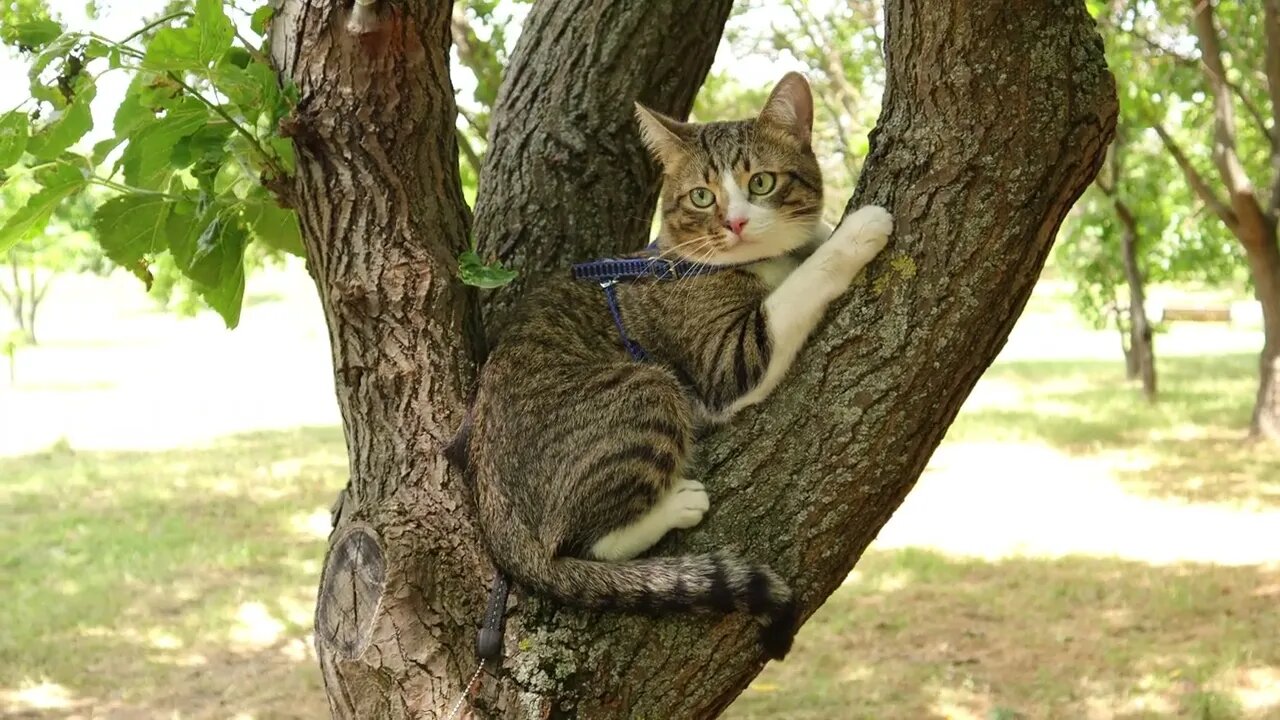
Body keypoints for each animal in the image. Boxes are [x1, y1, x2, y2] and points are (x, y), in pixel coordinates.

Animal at [455, 71, 896, 655]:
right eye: (702, 197)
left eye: (761, 183)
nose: (734, 223)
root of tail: (500, 526)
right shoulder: (726, 362)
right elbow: (804, 283)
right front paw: (856, 230)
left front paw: (821, 229)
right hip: (647, 390)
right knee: (578, 544)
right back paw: (674, 506)